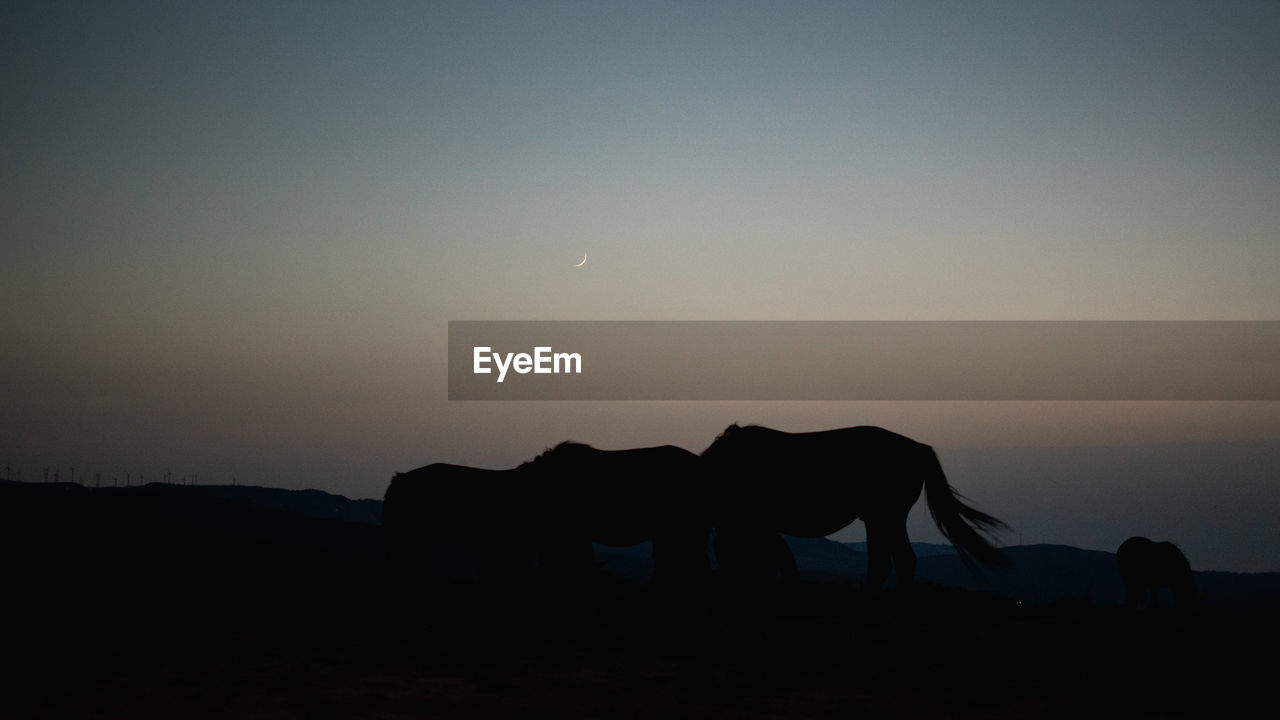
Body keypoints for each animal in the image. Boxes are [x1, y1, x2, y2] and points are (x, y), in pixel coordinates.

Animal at [701, 422, 1008, 586]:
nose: (718, 577)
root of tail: (919, 448)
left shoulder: (756, 525)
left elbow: (774, 562)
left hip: (885, 516)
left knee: (894, 561)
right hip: (881, 518)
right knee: (892, 561)